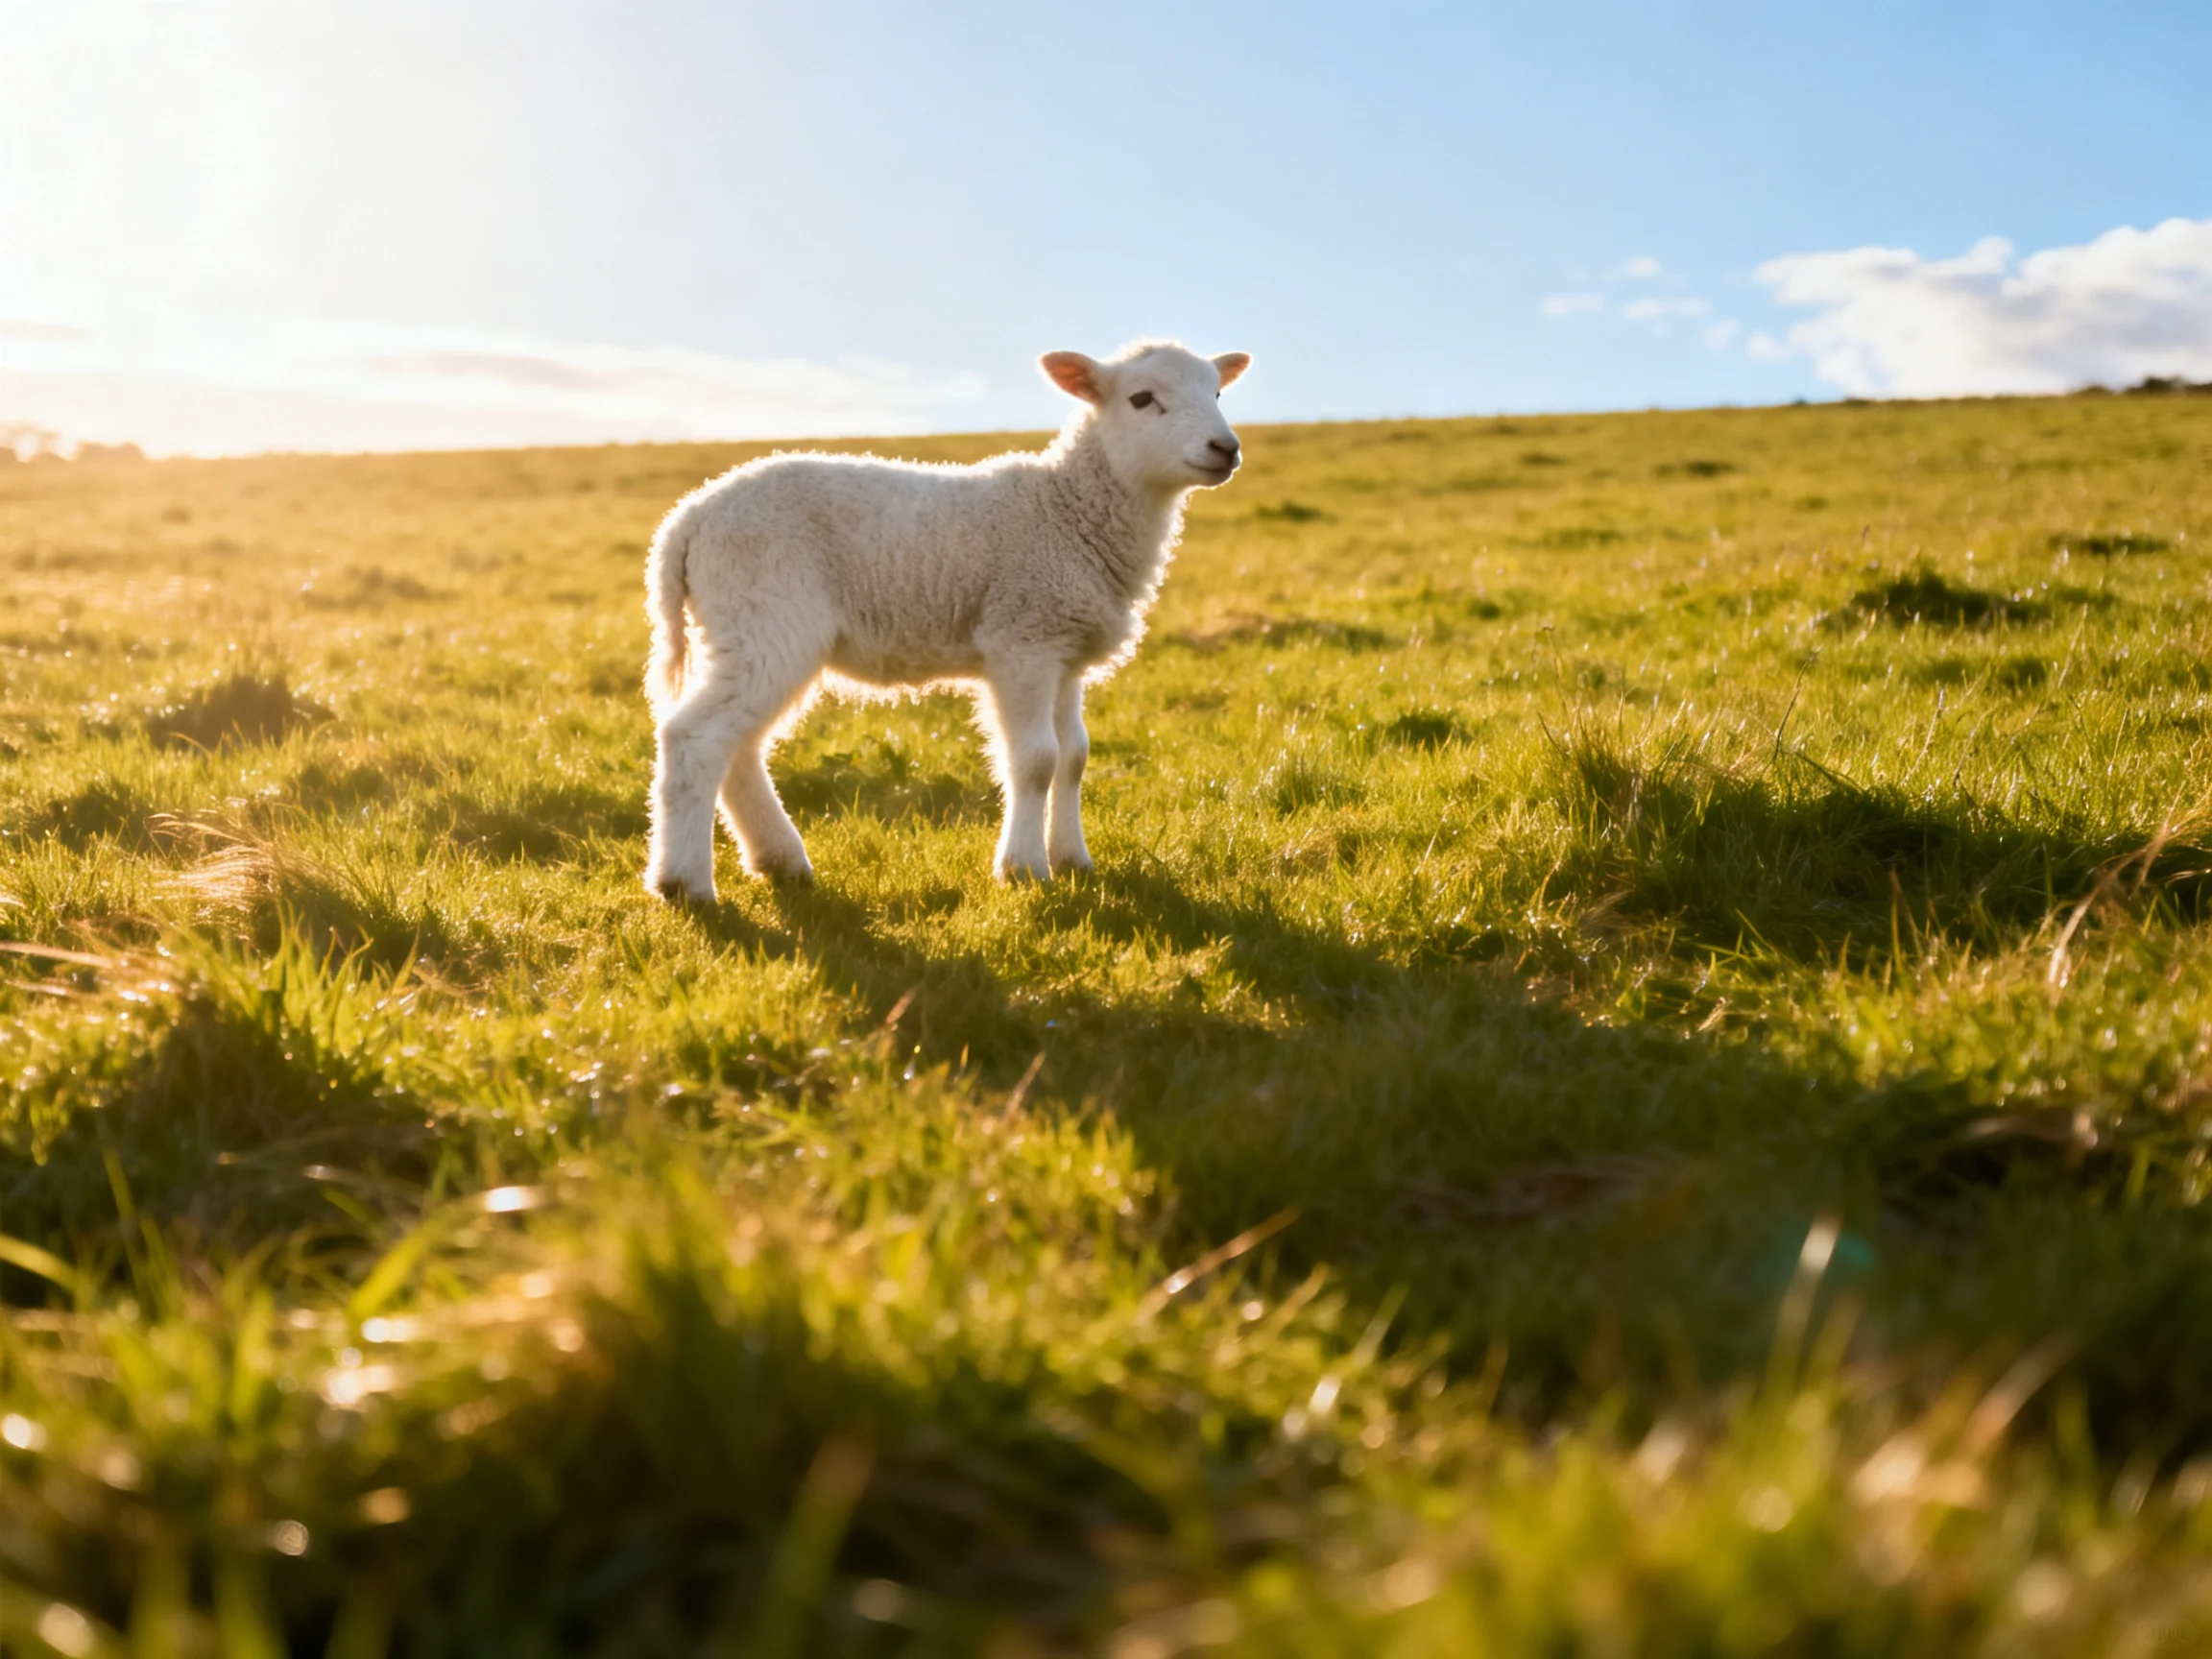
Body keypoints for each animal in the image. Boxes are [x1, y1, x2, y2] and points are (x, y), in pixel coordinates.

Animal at [641, 339, 1252, 900]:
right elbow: (1036, 759)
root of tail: (685, 521)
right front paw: (1023, 868)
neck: (1068, 509)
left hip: (744, 630)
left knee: (737, 745)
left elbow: (1074, 756)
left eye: (1218, 393)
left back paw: (779, 860)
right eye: (1142, 398)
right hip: (766, 615)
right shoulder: (1022, 637)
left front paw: (1073, 859)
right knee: (694, 737)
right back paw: (684, 882)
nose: (1226, 448)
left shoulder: (1064, 648)